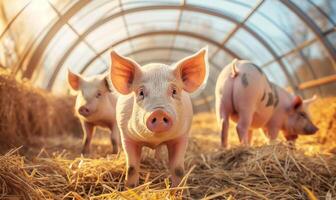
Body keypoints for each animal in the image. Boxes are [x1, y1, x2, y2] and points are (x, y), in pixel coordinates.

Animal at [107, 47, 207, 187]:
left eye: (174, 91)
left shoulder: (182, 136)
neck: (154, 140)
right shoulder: (126, 135)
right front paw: (130, 188)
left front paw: (178, 189)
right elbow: (131, 167)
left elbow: (178, 169)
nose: (159, 112)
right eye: (141, 92)